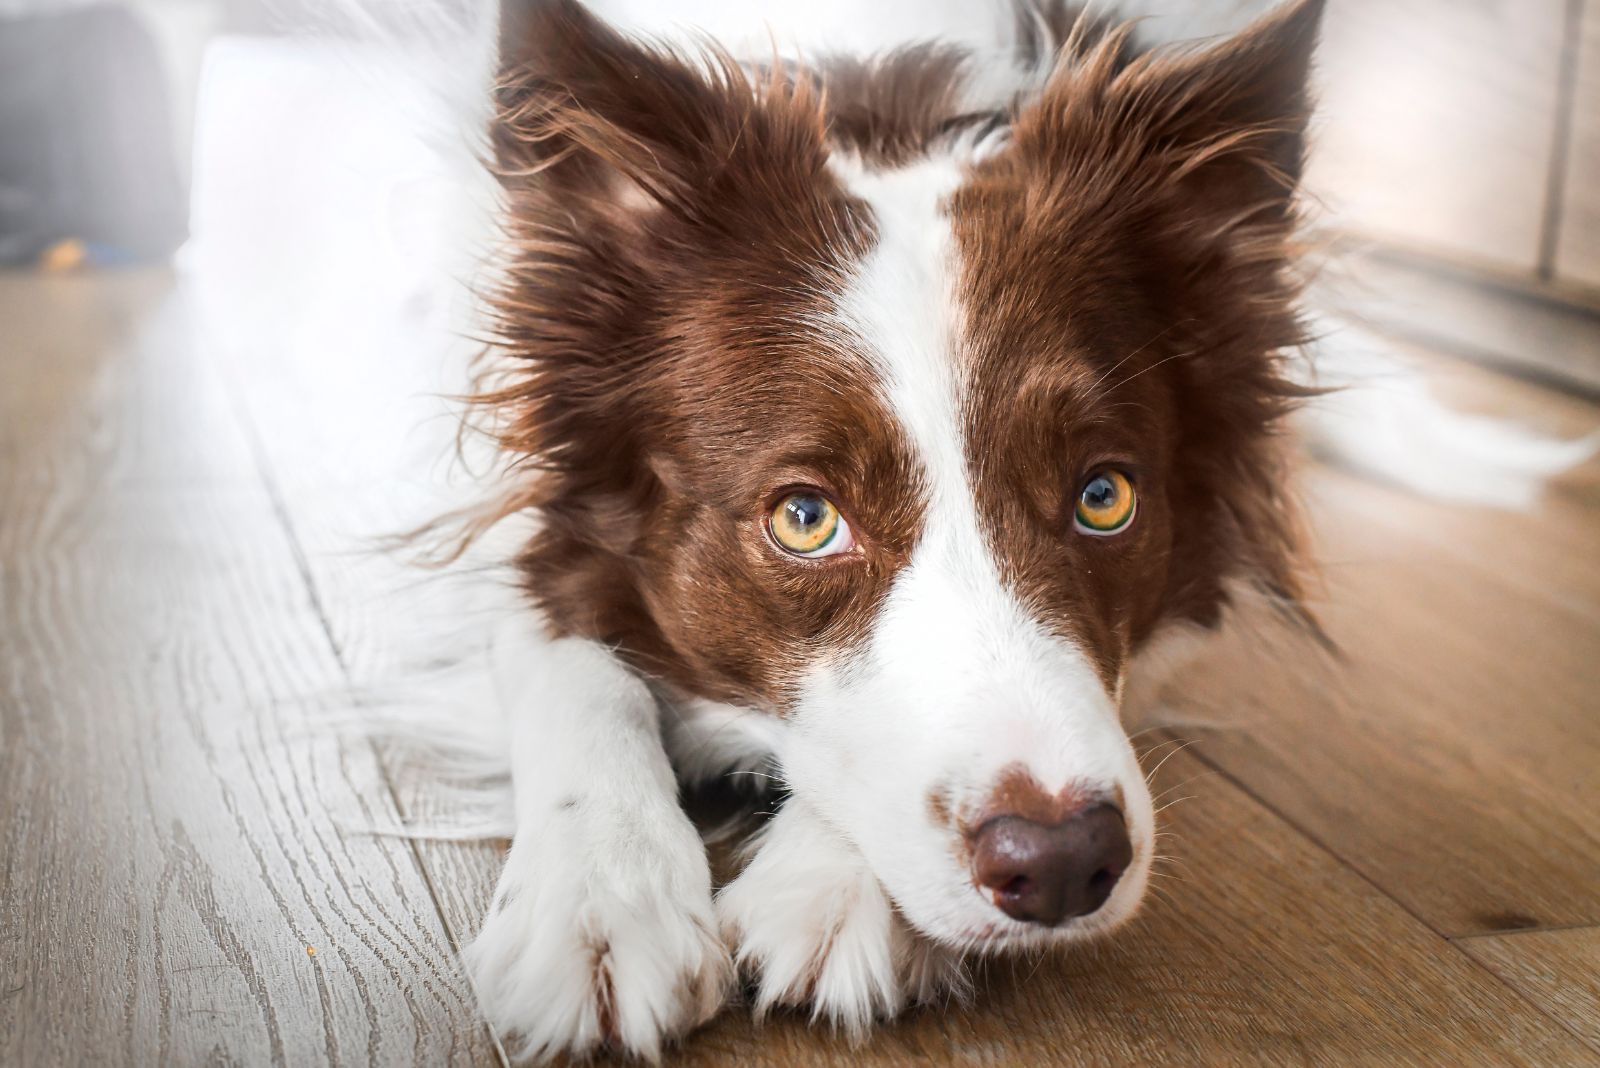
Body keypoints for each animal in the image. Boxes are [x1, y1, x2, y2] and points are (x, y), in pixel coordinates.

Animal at [457, 0, 1318, 1055]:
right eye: (805, 518)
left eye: (1104, 496)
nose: (1063, 862)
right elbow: (571, 657)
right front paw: (596, 899)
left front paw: (828, 882)